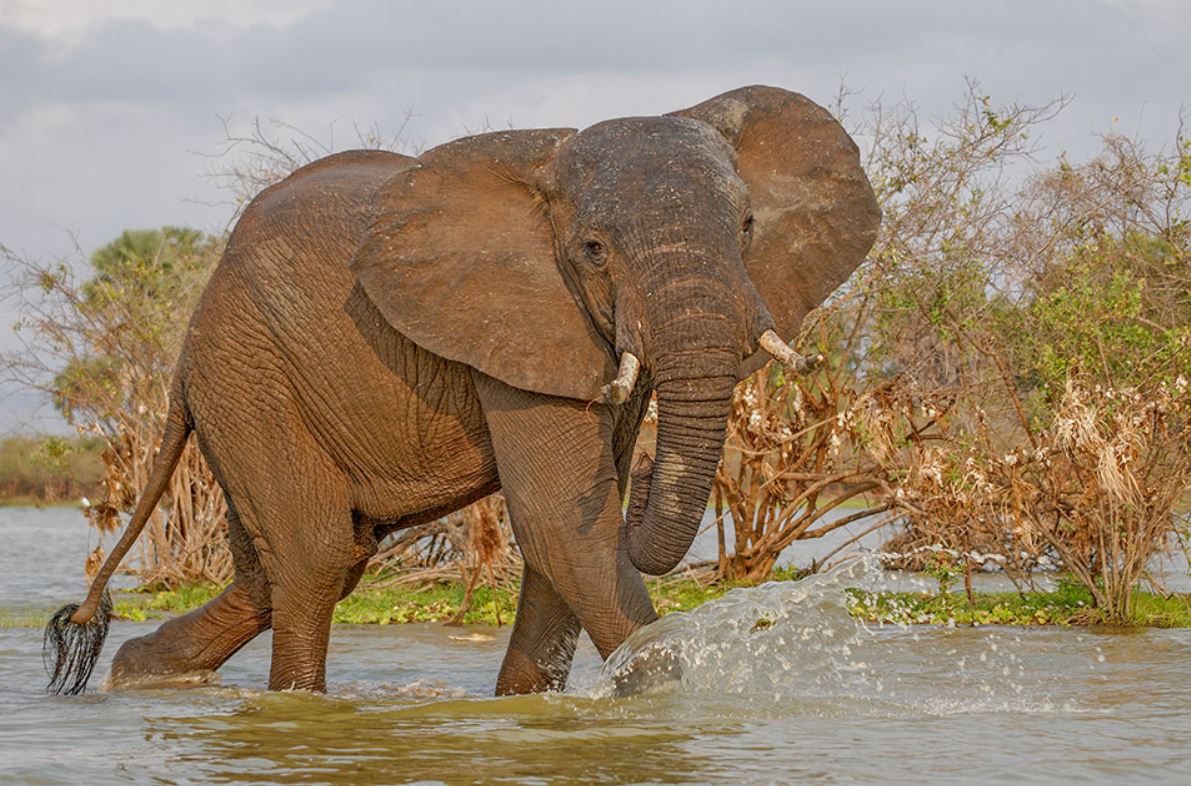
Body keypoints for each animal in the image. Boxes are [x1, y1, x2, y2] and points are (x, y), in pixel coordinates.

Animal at [44, 85, 879, 696]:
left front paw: (528, 711)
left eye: (746, 227)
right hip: (246, 369)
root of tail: (189, 339)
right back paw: (285, 704)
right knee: (315, 556)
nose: (644, 473)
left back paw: (139, 676)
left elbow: (569, 534)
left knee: (298, 564)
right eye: (592, 250)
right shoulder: (518, 318)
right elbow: (562, 524)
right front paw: (661, 701)